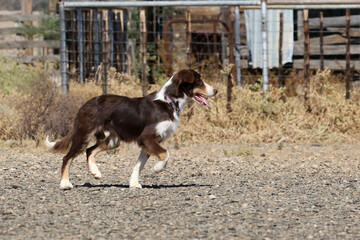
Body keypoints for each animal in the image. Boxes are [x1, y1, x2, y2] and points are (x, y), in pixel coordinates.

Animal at [46, 69, 218, 189]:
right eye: (199, 81)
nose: (216, 90)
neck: (168, 101)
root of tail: (85, 104)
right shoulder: (147, 137)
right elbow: (165, 154)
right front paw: (157, 168)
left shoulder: (149, 143)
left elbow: (138, 165)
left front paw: (134, 183)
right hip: (84, 134)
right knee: (67, 158)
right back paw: (65, 184)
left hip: (113, 140)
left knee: (90, 151)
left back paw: (95, 172)